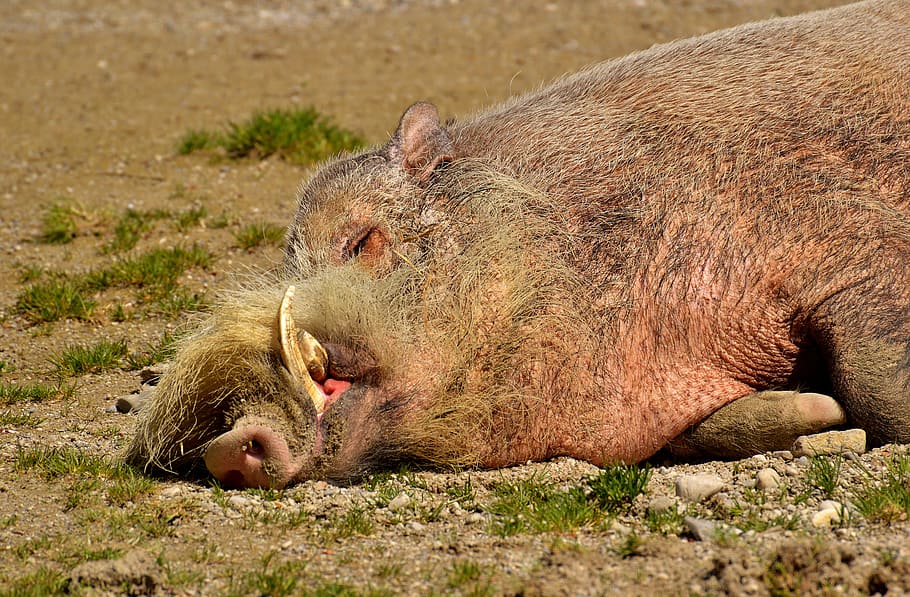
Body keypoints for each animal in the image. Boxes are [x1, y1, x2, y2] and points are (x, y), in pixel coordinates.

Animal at [125, 0, 910, 488]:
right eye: (290, 259)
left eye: (361, 240)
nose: (228, 444)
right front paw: (816, 413)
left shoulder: (840, 234)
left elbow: (877, 386)